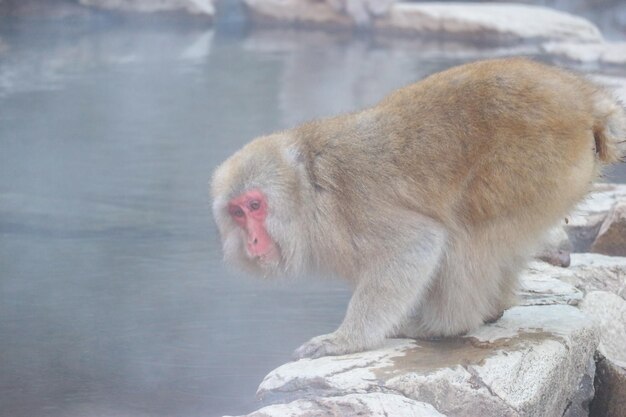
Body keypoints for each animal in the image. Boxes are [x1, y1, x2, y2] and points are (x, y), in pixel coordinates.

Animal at [211, 57, 624, 358]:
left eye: (255, 205)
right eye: (237, 213)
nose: (252, 241)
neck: (310, 188)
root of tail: (584, 101)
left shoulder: (355, 204)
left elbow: (416, 244)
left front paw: (347, 341)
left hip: (534, 163)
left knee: (468, 232)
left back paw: (444, 325)